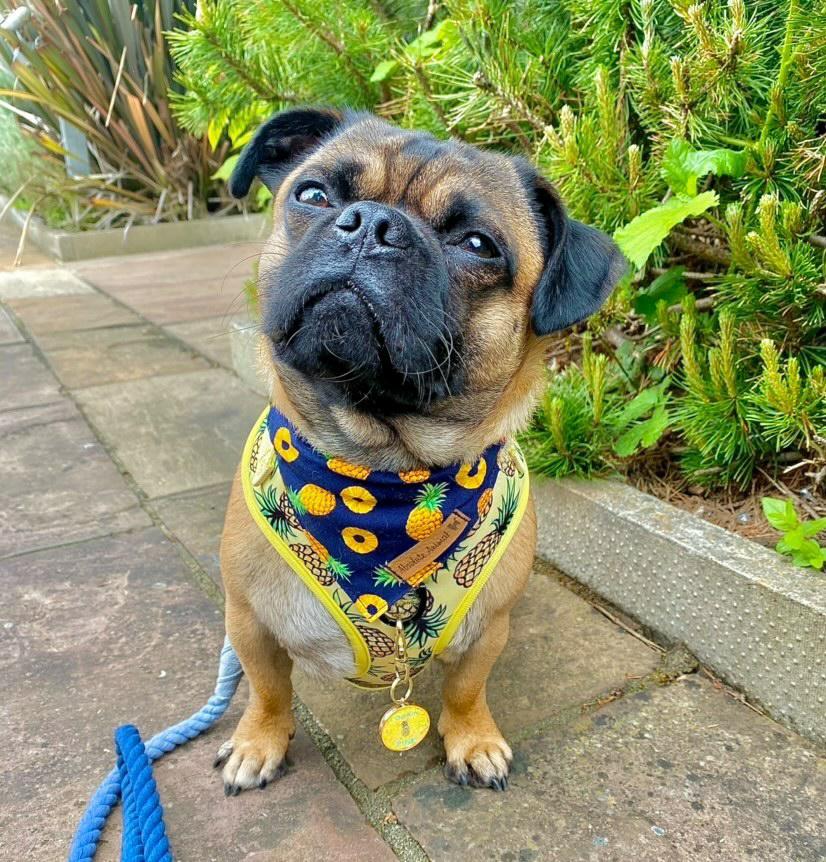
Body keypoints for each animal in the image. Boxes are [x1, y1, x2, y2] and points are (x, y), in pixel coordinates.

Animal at [216, 108, 620, 796]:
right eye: (313, 195)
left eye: (477, 245)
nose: (373, 225)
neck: (382, 477)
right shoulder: (249, 620)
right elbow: (268, 690)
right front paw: (258, 742)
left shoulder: (488, 632)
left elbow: (465, 690)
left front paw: (472, 740)